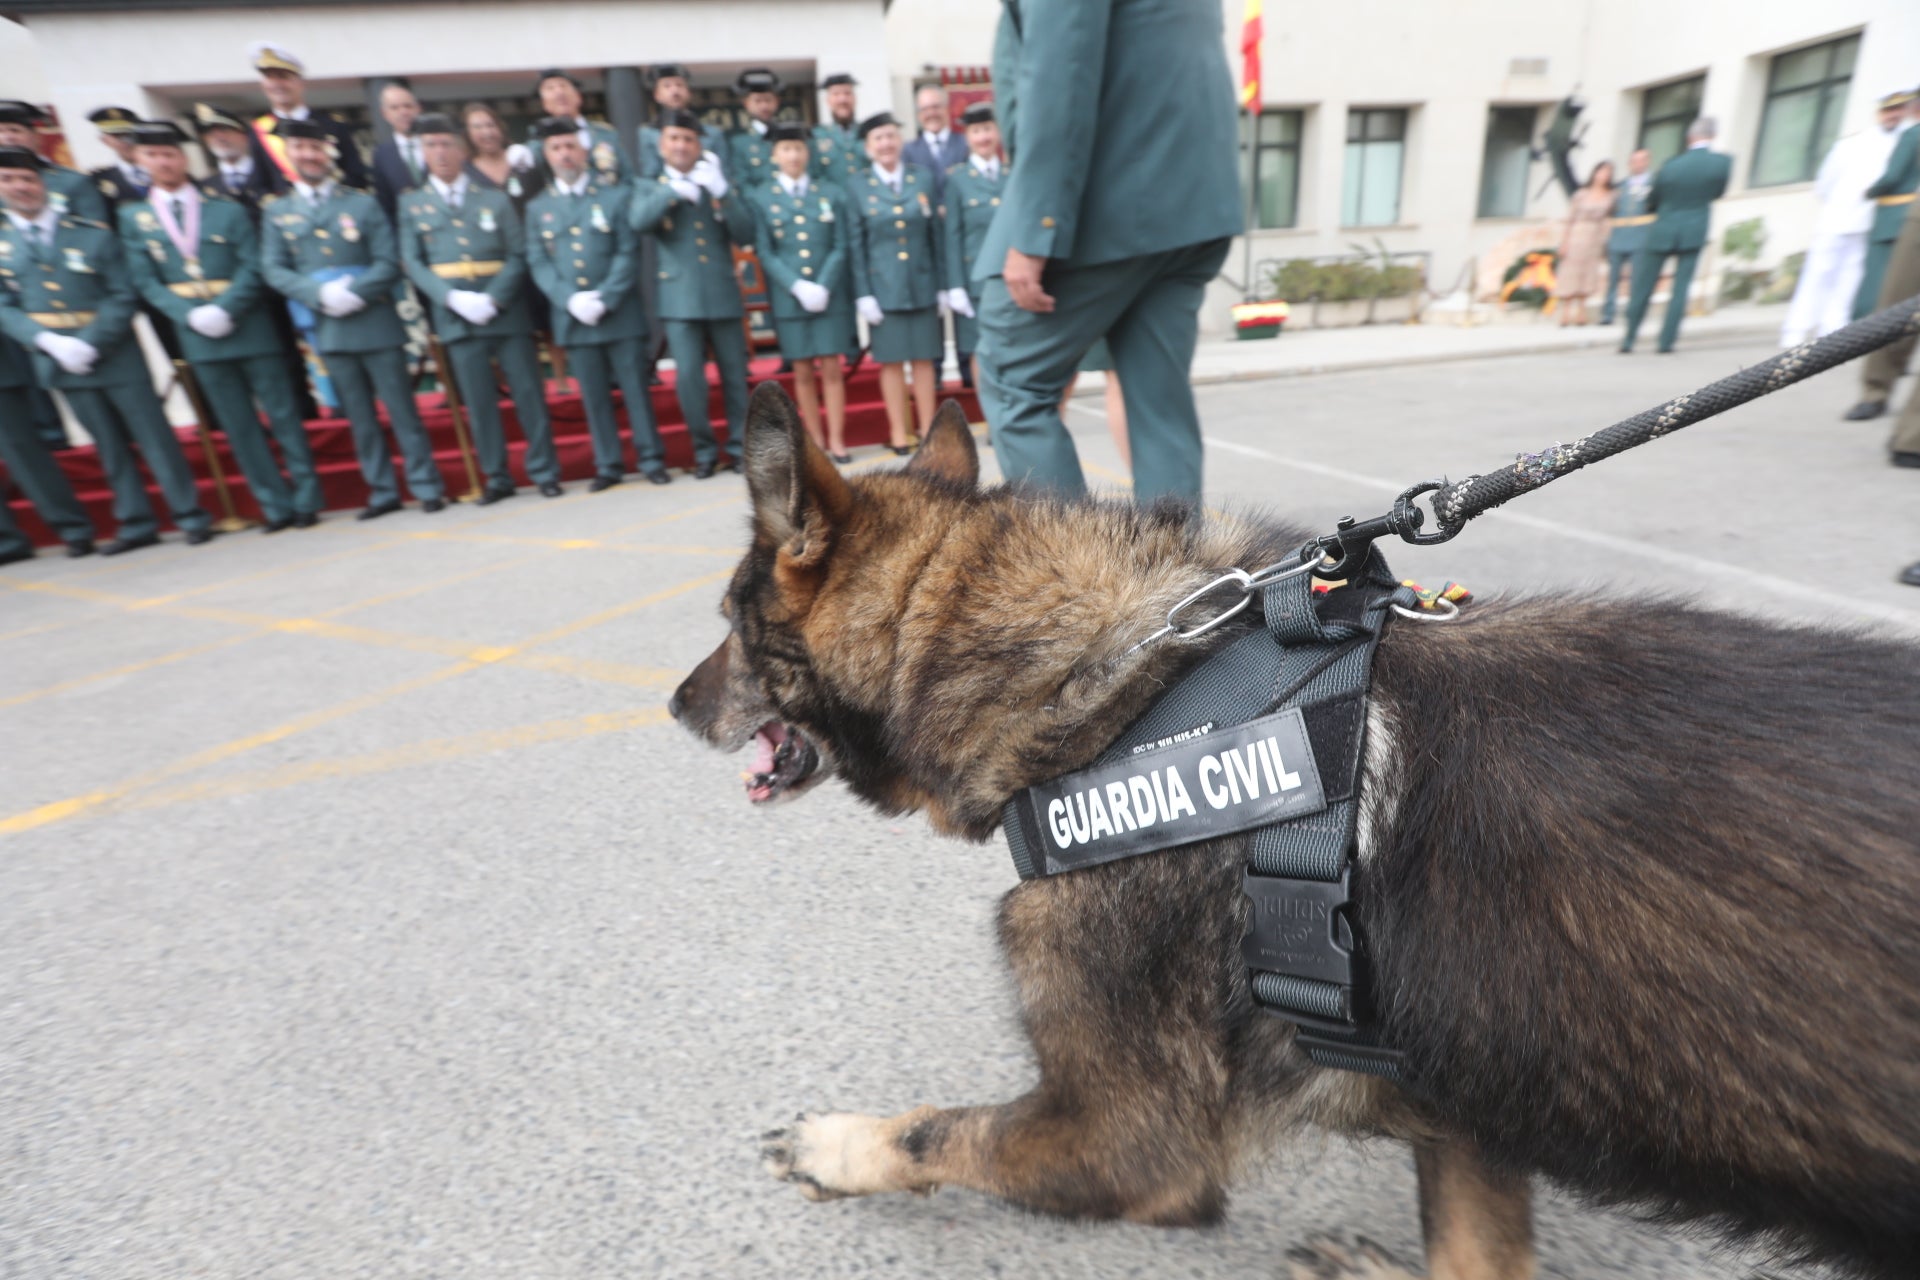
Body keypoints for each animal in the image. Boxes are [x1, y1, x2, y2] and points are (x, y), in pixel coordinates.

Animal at [664, 385, 1920, 1274]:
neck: (1125, 687)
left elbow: (941, 1131)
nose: (673, 705)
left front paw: (837, 1144)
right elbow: (1477, 1254)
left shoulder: (1128, 1143)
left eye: (727, 618)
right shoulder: (1459, 1089)